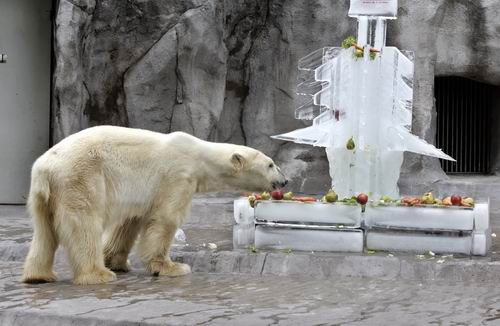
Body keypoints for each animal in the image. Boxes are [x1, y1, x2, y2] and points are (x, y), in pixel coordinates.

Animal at [21, 126, 288, 284]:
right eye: (271, 164)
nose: (285, 180)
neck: (199, 156)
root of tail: (45, 168)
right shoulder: (177, 176)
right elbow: (165, 218)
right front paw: (172, 267)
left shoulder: (142, 191)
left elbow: (129, 222)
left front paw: (117, 261)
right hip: (80, 178)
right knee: (84, 225)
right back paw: (98, 274)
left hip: (45, 194)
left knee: (44, 232)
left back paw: (39, 276)